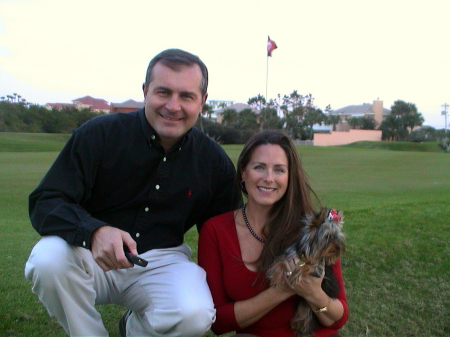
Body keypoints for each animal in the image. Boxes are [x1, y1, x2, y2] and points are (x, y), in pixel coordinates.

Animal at [268, 207, 344, 336]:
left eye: (338, 237)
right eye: (328, 236)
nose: (339, 247)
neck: (310, 253)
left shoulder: (318, 268)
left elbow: (308, 267)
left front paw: (297, 274)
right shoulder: (290, 254)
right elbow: (280, 262)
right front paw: (277, 277)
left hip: (310, 304)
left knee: (307, 316)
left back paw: (302, 327)